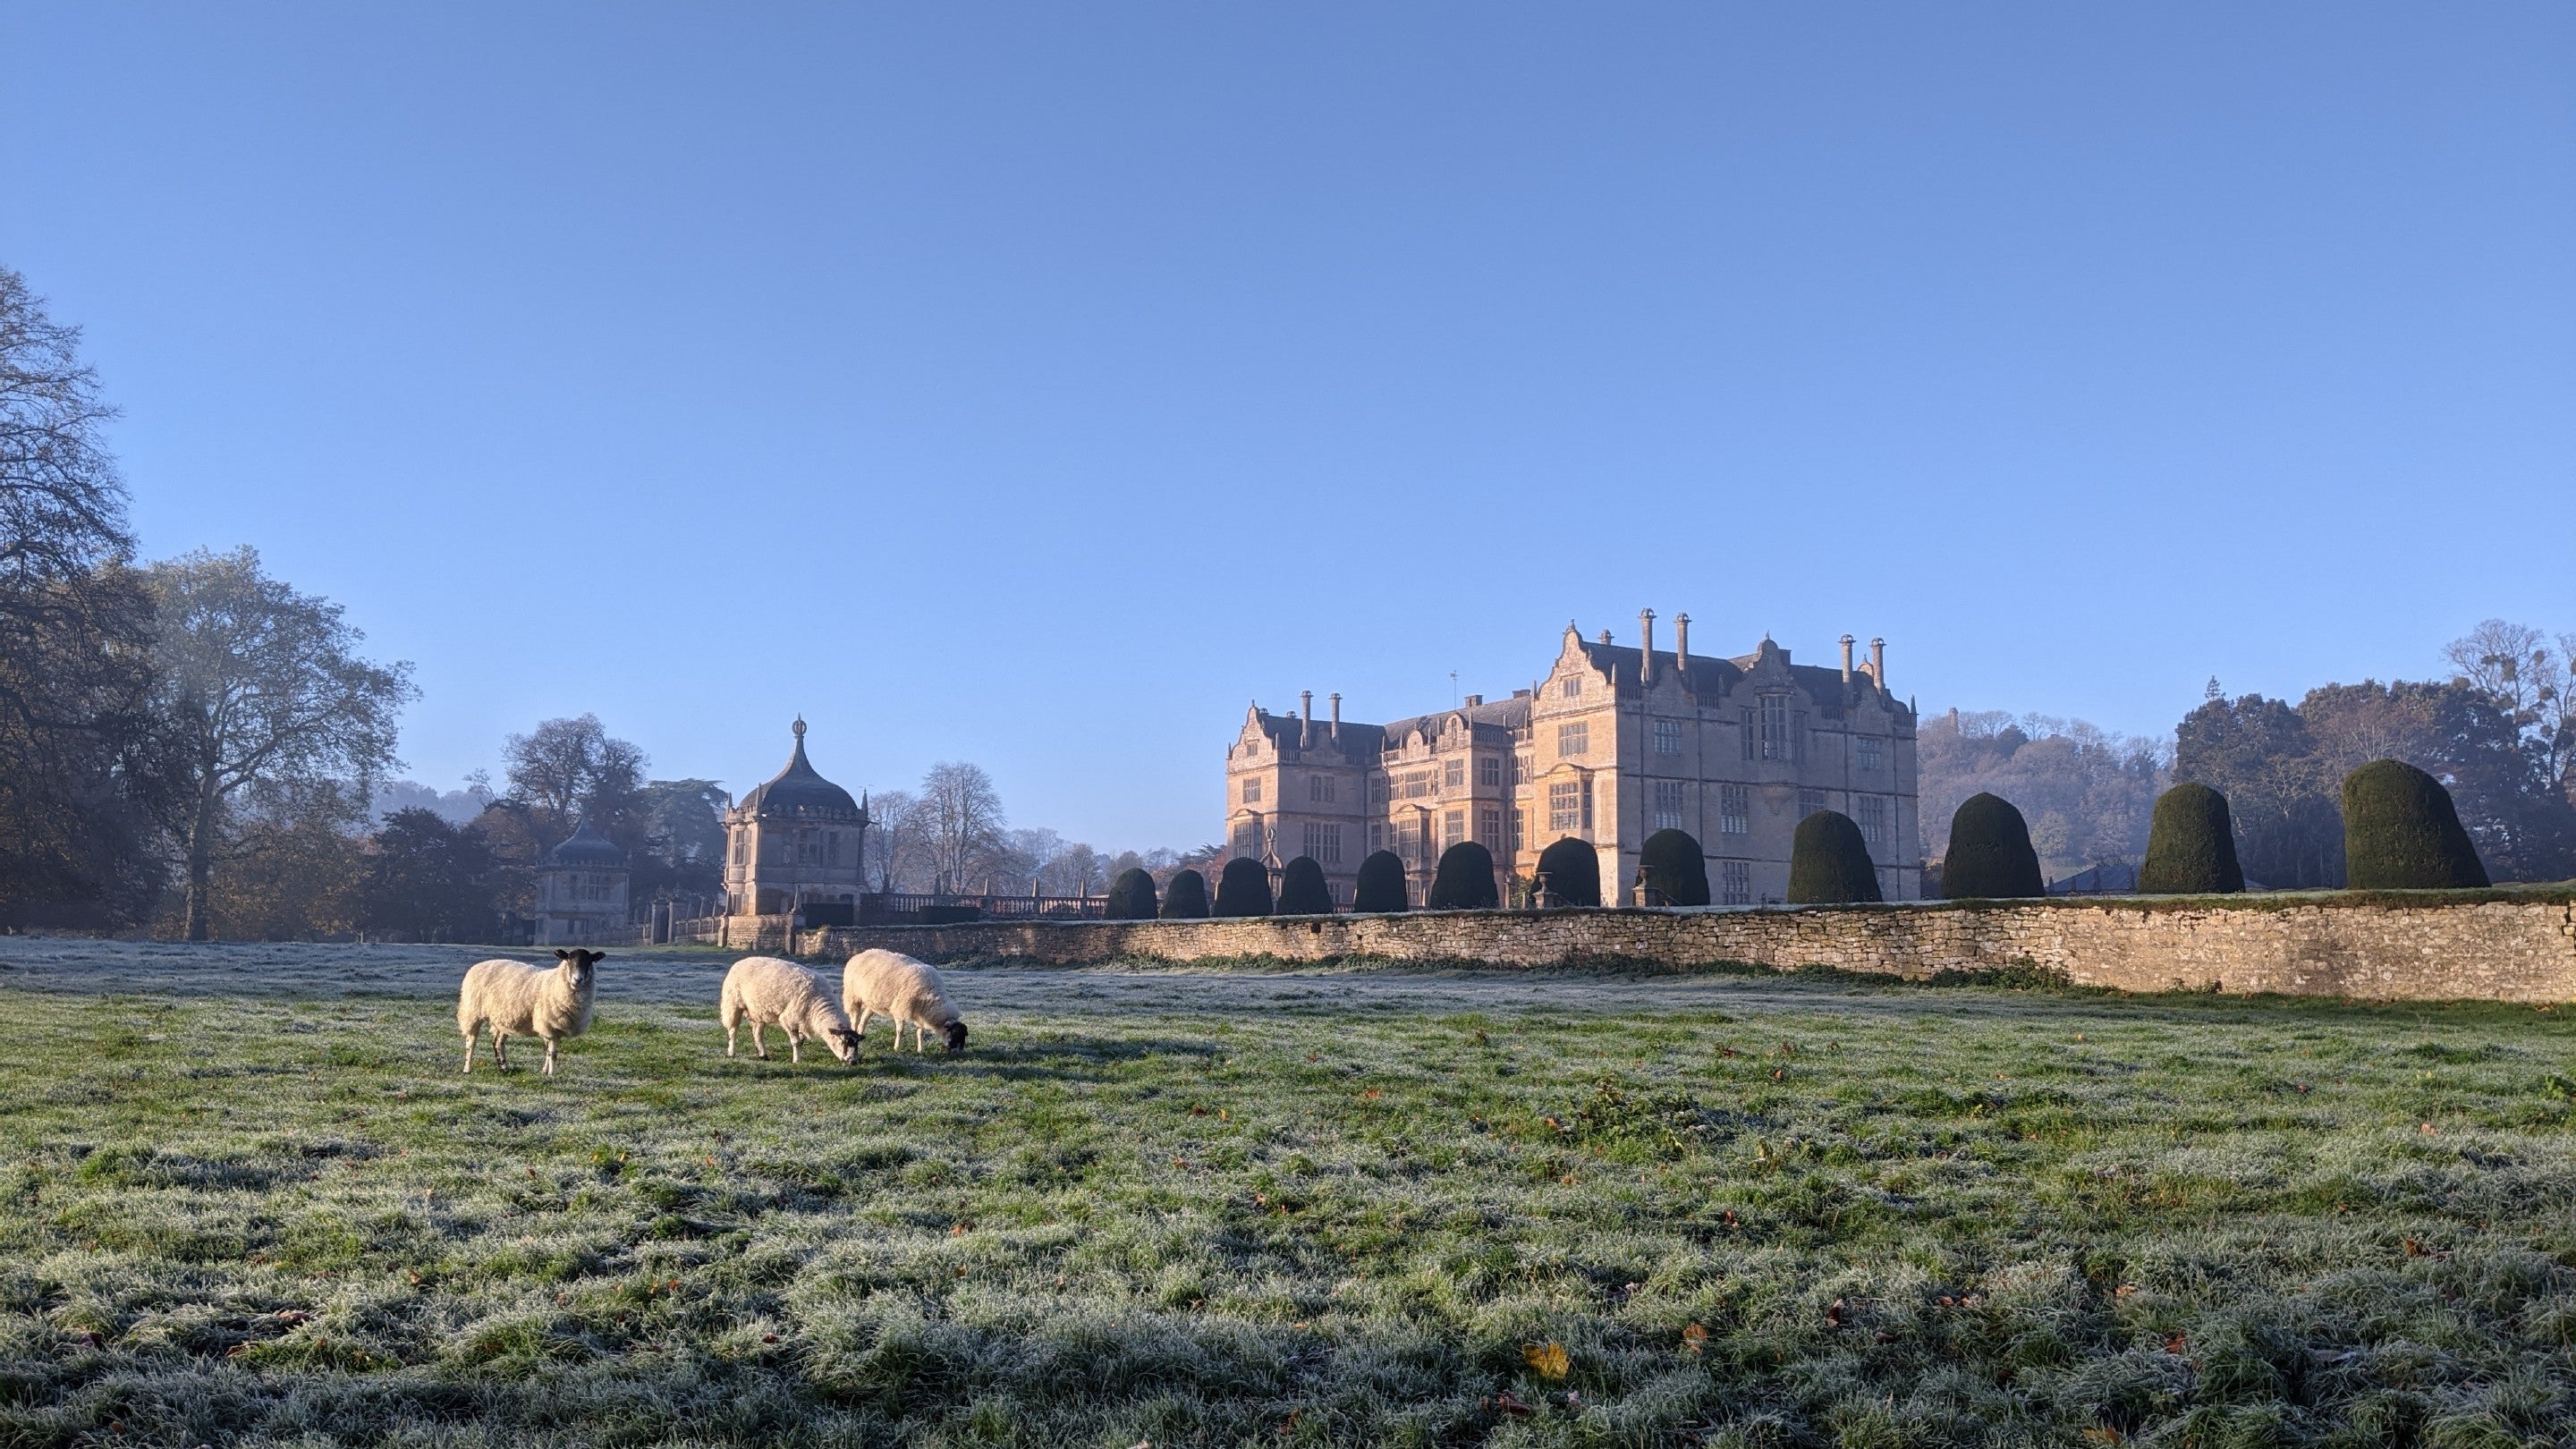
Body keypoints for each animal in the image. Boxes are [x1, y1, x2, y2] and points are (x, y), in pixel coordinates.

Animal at [458, 949, 602, 1075]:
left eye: (590, 961)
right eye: (569, 959)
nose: (577, 979)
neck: (555, 983)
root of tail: (477, 965)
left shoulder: (552, 1028)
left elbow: (548, 1051)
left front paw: (544, 1071)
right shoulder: (549, 1026)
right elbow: (552, 1053)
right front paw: (551, 1074)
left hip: (503, 1020)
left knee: (498, 1043)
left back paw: (504, 1068)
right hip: (472, 1012)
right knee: (471, 1042)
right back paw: (467, 1069)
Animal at [719, 955, 861, 1064]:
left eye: (857, 1044)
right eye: (843, 1042)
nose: (853, 1061)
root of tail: (742, 961)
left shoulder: (803, 1021)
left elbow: (801, 1041)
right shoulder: (789, 1020)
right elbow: (796, 1042)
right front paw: (796, 1061)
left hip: (758, 1011)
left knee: (757, 1033)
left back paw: (763, 1055)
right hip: (733, 1003)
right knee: (733, 1030)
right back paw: (731, 1052)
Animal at [841, 949, 969, 1053]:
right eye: (954, 1034)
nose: (959, 1053)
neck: (932, 995)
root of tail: (860, 954)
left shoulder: (921, 1014)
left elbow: (920, 1033)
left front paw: (920, 1050)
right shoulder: (899, 1009)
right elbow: (900, 1031)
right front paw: (897, 1048)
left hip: (873, 1002)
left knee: (864, 1019)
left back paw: (860, 1034)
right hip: (853, 997)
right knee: (855, 1020)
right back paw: (854, 1035)